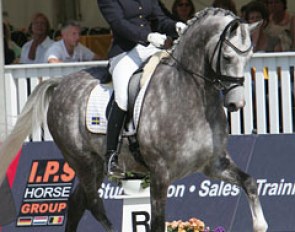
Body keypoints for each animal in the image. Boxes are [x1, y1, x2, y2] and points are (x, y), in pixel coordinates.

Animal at [0, 7, 268, 232]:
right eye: (227, 56)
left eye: (249, 57)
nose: (236, 104)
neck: (190, 94)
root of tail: (61, 83)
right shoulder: (160, 174)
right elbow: (157, 223)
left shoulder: (214, 164)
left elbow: (250, 182)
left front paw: (259, 224)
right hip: (82, 161)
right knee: (94, 205)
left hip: (95, 167)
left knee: (77, 204)